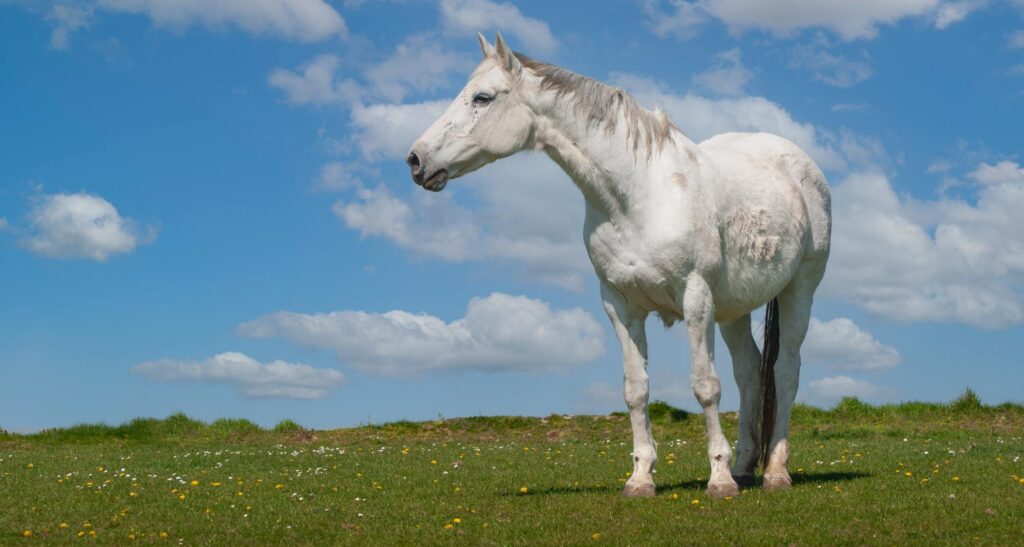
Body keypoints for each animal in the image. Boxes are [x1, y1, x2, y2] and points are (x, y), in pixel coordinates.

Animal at [406, 32, 831, 498]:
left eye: (482, 97)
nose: (416, 160)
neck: (638, 196)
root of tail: (799, 163)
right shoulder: (620, 305)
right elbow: (636, 390)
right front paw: (641, 478)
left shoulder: (696, 299)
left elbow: (705, 386)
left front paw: (718, 480)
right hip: (733, 310)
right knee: (751, 374)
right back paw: (744, 468)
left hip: (799, 291)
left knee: (785, 372)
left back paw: (774, 471)